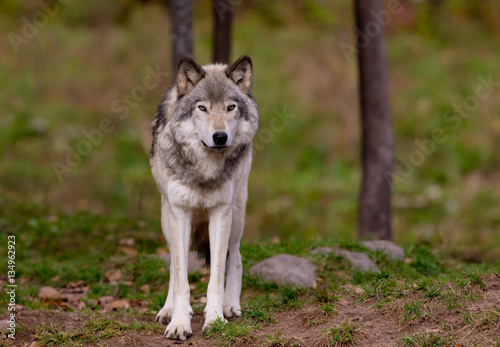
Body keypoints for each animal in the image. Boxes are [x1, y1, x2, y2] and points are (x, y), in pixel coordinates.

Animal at [149, 55, 260, 340]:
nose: (220, 137)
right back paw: (167, 309)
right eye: (202, 108)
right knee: (173, 265)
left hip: (237, 216)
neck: (204, 170)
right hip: (166, 219)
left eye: (231, 107)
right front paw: (178, 322)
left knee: (236, 258)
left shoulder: (221, 213)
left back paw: (230, 305)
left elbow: (216, 277)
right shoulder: (179, 214)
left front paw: (216, 319)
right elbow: (181, 278)